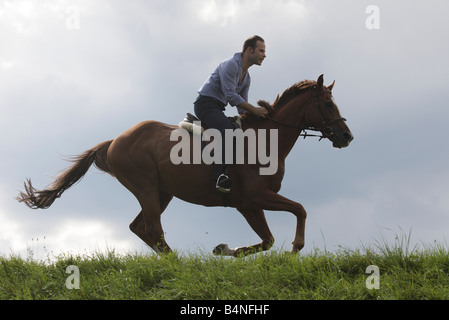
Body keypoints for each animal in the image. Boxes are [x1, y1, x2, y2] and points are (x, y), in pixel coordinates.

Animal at [16, 75, 354, 258]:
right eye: (327, 104)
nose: (346, 136)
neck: (265, 141)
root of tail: (114, 141)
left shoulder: (248, 204)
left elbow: (270, 237)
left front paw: (224, 249)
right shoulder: (251, 199)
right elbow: (298, 211)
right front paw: (295, 247)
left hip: (162, 192)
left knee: (140, 227)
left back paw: (174, 261)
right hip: (146, 187)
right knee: (153, 228)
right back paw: (179, 264)